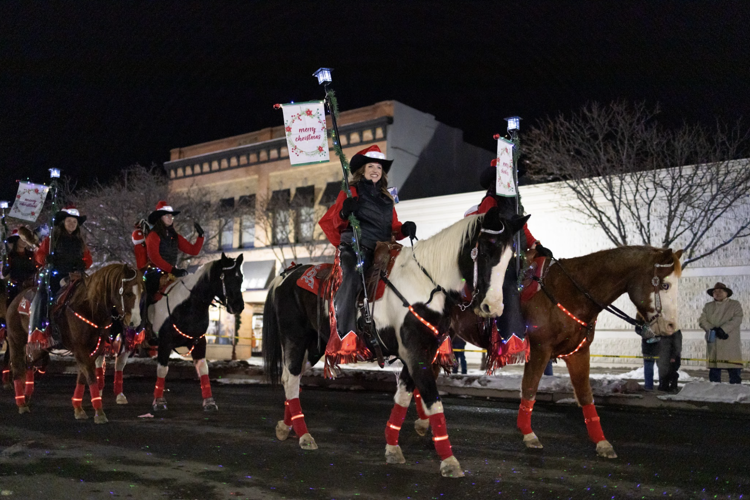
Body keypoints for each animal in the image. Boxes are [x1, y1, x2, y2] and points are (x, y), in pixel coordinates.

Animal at [5, 264, 142, 424]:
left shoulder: (95, 349)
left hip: (41, 347)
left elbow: (83, 376)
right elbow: (90, 375)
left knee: (29, 363)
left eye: (141, 292)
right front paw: (99, 412)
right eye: (127, 293)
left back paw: (26, 397)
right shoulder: (80, 349)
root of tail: (17, 298)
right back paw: (21, 403)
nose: (135, 322)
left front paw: (78, 408)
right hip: (16, 340)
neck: (89, 308)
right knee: (17, 367)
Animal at [129, 254, 247, 414]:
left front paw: (209, 402)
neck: (188, 306)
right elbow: (162, 369)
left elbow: (203, 369)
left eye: (240, 278)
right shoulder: (165, 343)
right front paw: (159, 401)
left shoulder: (199, 342)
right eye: (225, 277)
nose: (238, 306)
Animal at [264, 206, 528, 476]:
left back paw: (286, 426)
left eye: (510, 257)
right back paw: (304, 435)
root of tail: (287, 274)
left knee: (292, 378)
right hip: (295, 339)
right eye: (484, 251)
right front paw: (450, 461)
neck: (425, 285)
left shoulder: (419, 354)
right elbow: (433, 402)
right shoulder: (416, 354)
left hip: (315, 346)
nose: (493, 307)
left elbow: (403, 398)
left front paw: (392, 447)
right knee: (291, 378)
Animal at [450, 244, 684, 458]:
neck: (570, 293)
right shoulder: (540, 350)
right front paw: (529, 434)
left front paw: (602, 442)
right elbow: (529, 388)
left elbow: (585, 395)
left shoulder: (578, 353)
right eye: (665, 284)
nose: (672, 326)